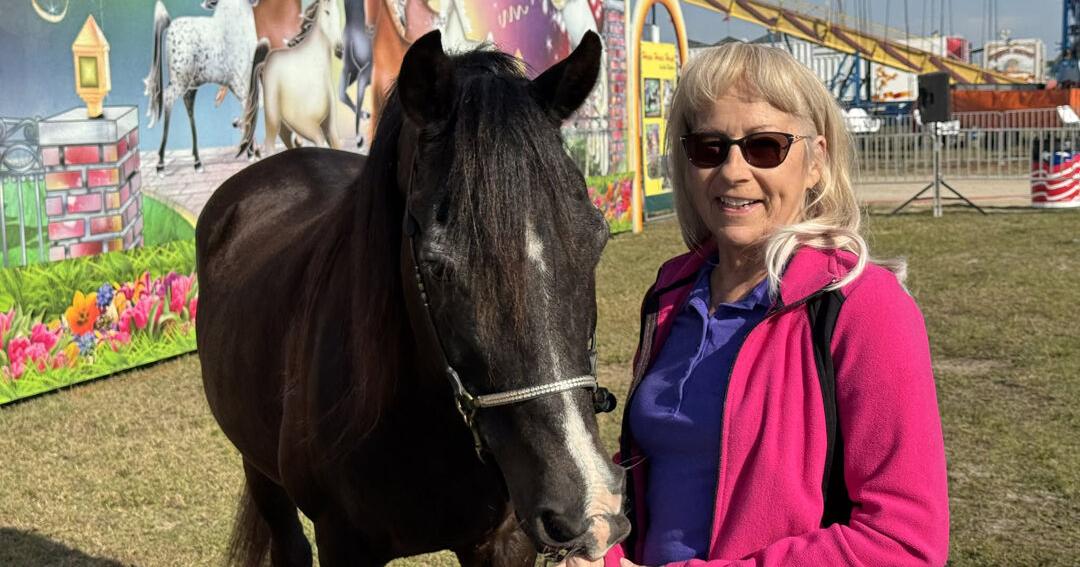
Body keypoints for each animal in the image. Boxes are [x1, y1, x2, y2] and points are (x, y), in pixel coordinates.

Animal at [144, 0, 259, 174]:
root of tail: (171, 26)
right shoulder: (238, 84)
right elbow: (249, 111)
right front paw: (251, 152)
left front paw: (251, 150)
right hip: (180, 80)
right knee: (168, 98)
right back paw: (161, 163)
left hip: (191, 86)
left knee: (189, 107)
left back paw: (197, 161)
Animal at [196, 30, 628, 566]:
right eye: (436, 264)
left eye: (597, 238)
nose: (588, 505)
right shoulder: (343, 543)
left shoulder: (504, 542)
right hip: (257, 468)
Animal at [238, 0, 345, 156]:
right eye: (327, 12)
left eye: (338, 13)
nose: (340, 50)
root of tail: (265, 63)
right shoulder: (305, 123)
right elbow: (320, 144)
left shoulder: (330, 127)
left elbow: (337, 145)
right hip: (274, 118)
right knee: (270, 144)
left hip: (283, 125)